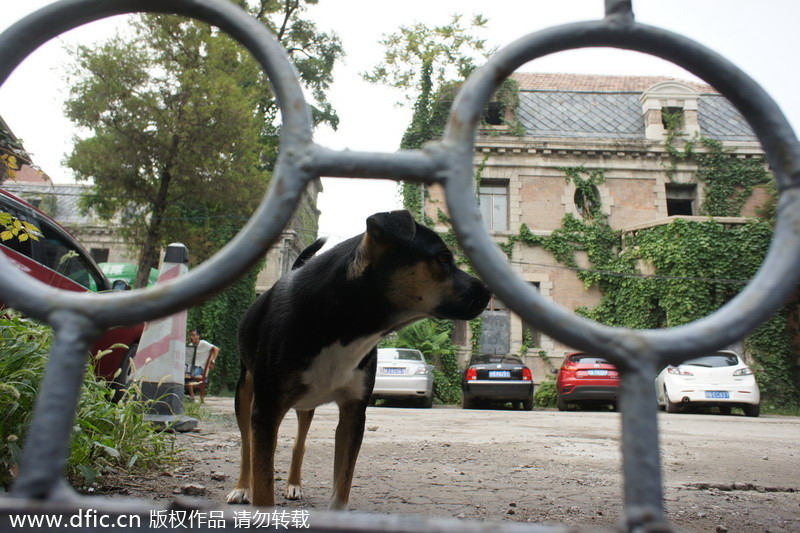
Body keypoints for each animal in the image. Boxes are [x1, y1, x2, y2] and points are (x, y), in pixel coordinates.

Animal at [223, 210, 488, 510]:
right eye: (443, 259)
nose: (489, 291)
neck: (344, 324)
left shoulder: (353, 412)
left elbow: (342, 484)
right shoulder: (266, 411)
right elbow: (263, 485)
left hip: (305, 405)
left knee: (299, 443)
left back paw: (293, 484)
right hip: (246, 391)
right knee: (247, 444)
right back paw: (242, 488)